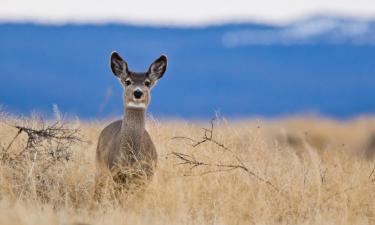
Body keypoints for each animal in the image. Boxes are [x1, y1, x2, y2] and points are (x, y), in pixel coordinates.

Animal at [96, 51, 168, 192]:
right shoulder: (116, 173)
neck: (129, 159)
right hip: (99, 165)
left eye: (147, 83)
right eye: (128, 81)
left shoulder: (145, 175)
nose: (138, 92)